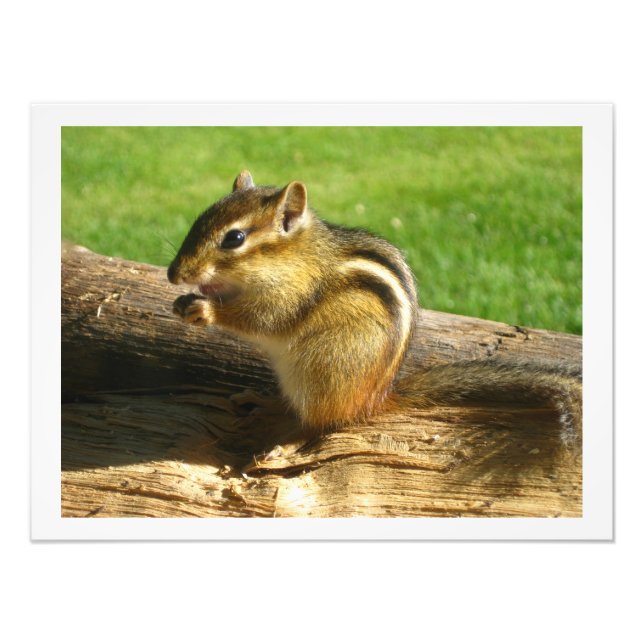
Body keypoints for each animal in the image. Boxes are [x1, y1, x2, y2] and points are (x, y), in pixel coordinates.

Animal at [168, 171, 582, 448]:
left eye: (234, 238)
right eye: (198, 220)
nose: (174, 275)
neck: (294, 257)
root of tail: (374, 400)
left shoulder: (291, 295)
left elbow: (262, 320)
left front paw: (207, 312)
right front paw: (184, 301)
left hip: (321, 369)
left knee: (318, 423)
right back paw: (264, 401)